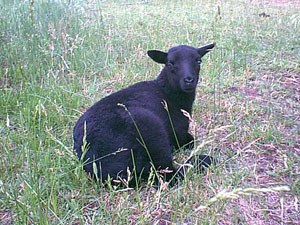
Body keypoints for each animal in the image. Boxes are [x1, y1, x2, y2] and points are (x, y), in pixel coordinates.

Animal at [74, 43, 217, 185]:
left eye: (198, 61)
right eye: (170, 63)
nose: (189, 80)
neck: (168, 93)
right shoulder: (178, 133)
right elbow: (190, 140)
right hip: (151, 130)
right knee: (168, 175)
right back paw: (204, 160)